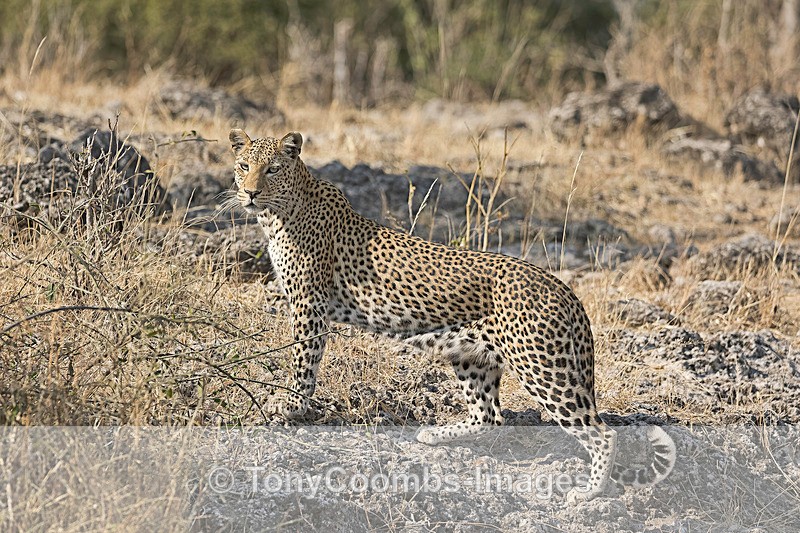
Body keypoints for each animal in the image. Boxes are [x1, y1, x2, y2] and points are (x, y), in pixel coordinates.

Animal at [228, 128, 677, 502]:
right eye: (244, 166)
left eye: (272, 169)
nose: (249, 193)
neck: (278, 213)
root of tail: (565, 290)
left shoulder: (309, 306)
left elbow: (303, 363)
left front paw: (290, 407)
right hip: (470, 354)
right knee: (489, 416)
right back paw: (433, 434)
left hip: (544, 368)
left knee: (599, 433)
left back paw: (588, 493)